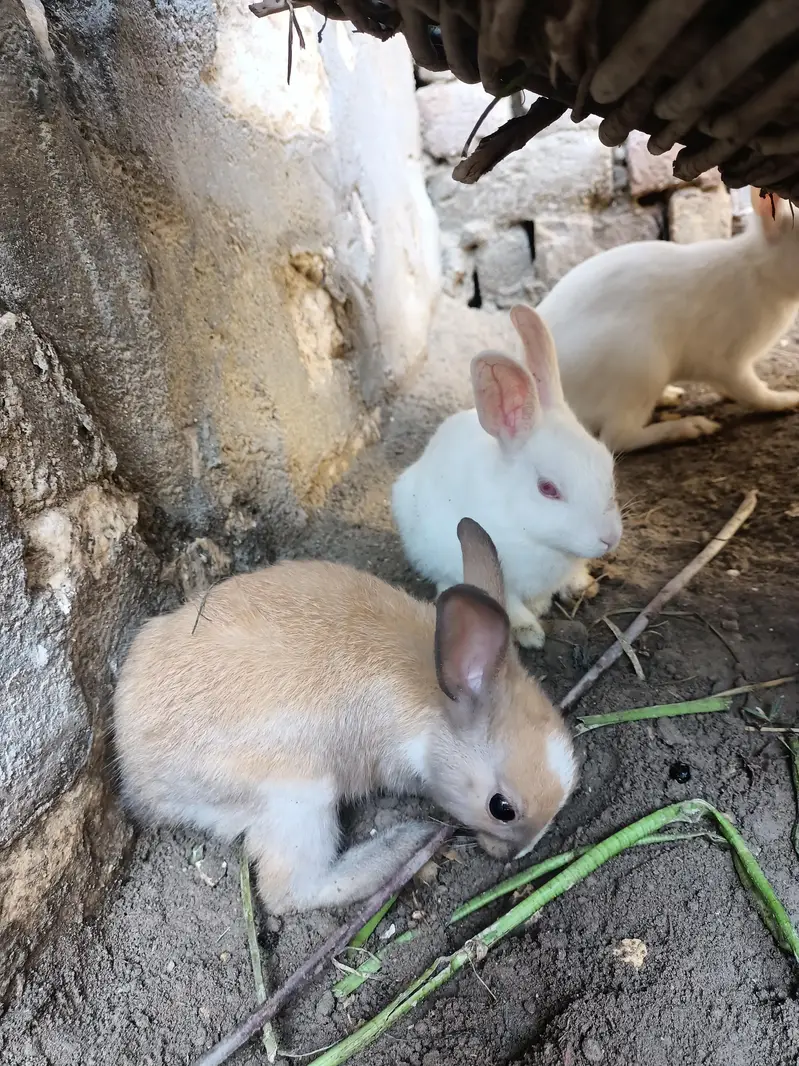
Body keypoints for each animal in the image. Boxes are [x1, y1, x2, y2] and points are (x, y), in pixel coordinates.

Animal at [112, 518, 576, 914]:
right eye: (502, 808)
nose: (518, 854)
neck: (434, 704)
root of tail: (138, 778)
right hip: (299, 797)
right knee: (290, 892)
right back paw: (403, 843)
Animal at [392, 305, 622, 650]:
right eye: (548, 488)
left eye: (607, 465)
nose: (610, 538)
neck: (529, 532)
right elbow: (510, 605)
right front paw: (530, 633)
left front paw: (580, 585)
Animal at [536, 186, 799, 454]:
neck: (760, 269)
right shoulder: (728, 361)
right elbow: (752, 392)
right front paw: (786, 400)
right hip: (640, 367)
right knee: (617, 438)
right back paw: (690, 427)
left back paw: (671, 396)